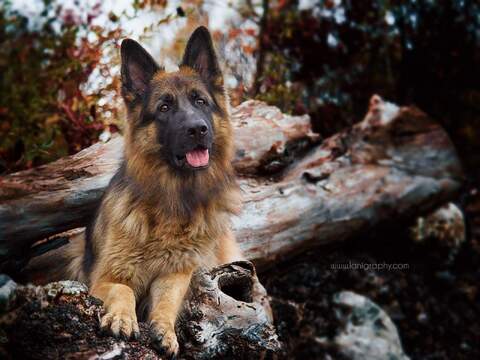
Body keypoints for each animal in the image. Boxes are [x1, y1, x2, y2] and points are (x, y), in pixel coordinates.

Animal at [49, 26, 244, 356]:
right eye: (164, 107)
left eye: (200, 102)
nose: (197, 129)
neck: (172, 200)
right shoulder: (105, 278)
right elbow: (123, 289)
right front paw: (122, 318)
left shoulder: (175, 275)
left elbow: (167, 301)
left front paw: (164, 329)